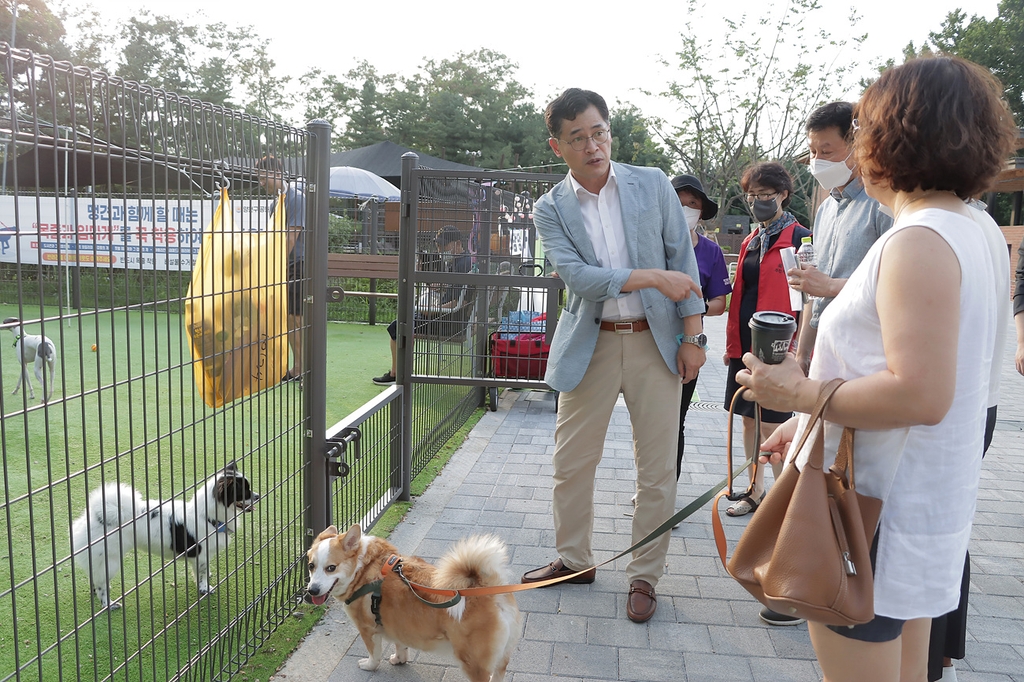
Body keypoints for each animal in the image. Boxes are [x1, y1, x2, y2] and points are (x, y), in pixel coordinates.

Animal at [70, 458, 258, 606]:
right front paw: (205, 588)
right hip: (111, 559)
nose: (257, 495)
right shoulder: (201, 554)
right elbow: (202, 574)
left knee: (96, 578)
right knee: (100, 585)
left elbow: (202, 571)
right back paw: (108, 604)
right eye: (244, 491)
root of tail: (95, 516)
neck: (207, 516)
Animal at [305, 522, 520, 675]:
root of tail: (490, 590)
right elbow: (400, 645)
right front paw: (399, 659)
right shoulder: (397, 623)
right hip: (501, 661)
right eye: (310, 566)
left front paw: (369, 665)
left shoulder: (367, 629)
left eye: (331, 568)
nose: (312, 591)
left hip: (473, 662)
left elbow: (374, 654)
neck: (362, 568)